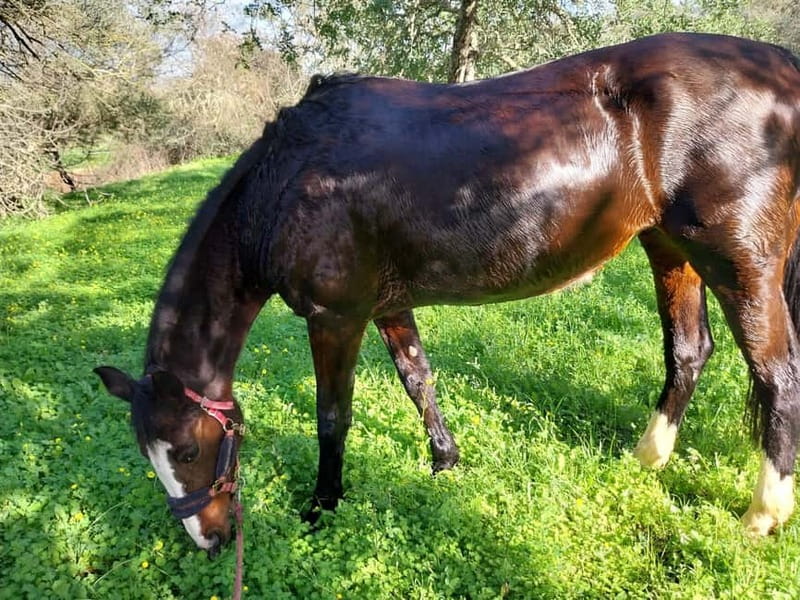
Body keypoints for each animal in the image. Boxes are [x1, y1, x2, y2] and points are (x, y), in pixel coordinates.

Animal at [95, 32, 800, 555]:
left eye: (188, 450)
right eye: (149, 456)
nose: (211, 540)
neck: (284, 186)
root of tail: (781, 66)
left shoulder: (336, 319)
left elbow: (333, 416)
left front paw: (322, 506)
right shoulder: (386, 306)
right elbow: (417, 378)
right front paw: (445, 461)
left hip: (741, 261)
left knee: (776, 373)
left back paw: (763, 514)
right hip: (669, 248)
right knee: (690, 350)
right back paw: (646, 458)